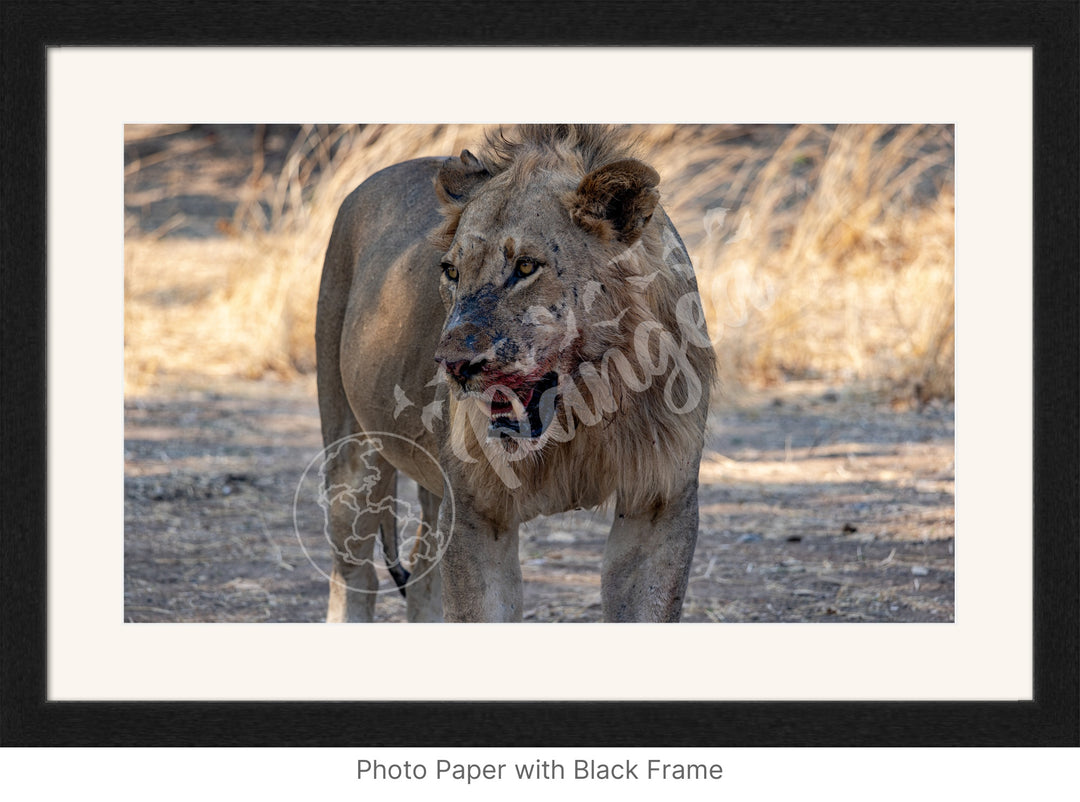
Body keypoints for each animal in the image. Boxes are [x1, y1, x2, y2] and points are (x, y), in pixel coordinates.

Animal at [315, 126, 712, 626]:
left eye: (525, 267)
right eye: (451, 271)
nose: (453, 366)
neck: (585, 411)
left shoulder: (660, 504)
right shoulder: (476, 511)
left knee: (422, 570)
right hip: (351, 452)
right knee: (353, 576)